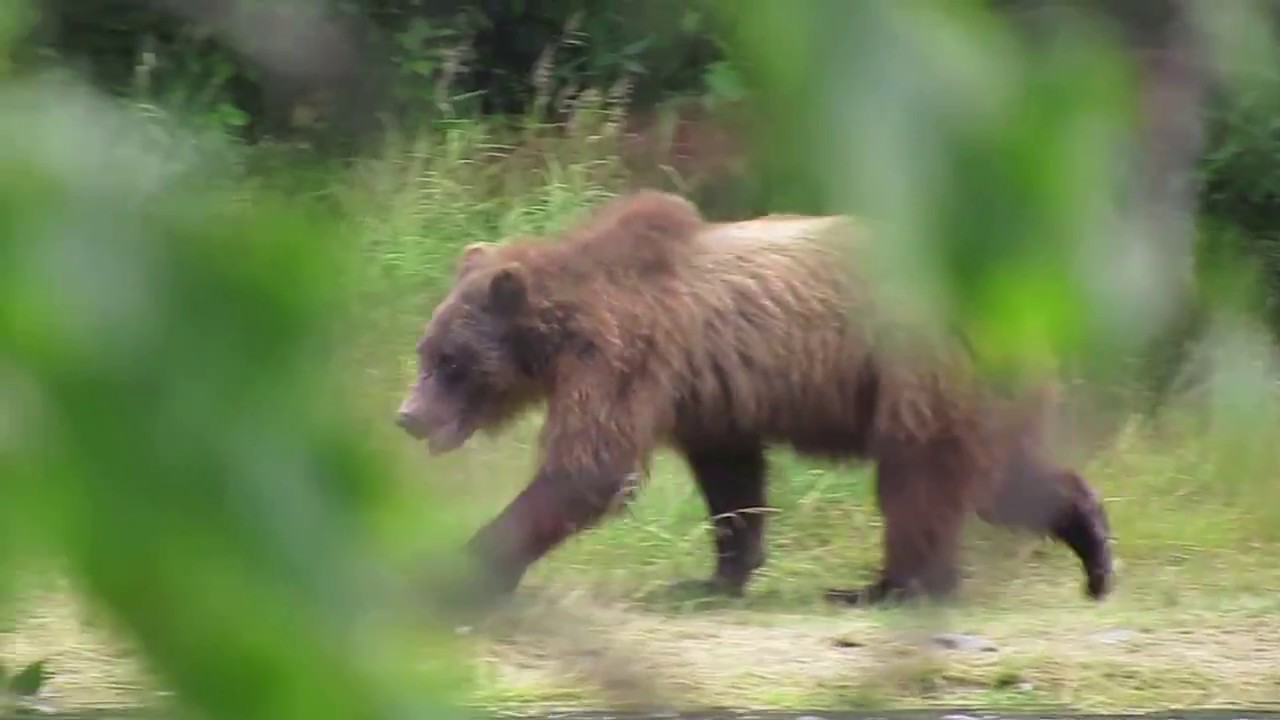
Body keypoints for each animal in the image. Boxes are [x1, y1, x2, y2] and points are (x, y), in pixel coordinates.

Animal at [395, 189, 1114, 606]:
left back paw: (888, 587)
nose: (407, 416)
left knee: (923, 475)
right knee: (1003, 477)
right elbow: (731, 477)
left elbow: (586, 469)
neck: (562, 329)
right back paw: (1097, 553)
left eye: (450, 362)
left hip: (922, 366)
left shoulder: (624, 356)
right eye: (424, 351)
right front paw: (712, 577)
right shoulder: (705, 393)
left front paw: (461, 570)